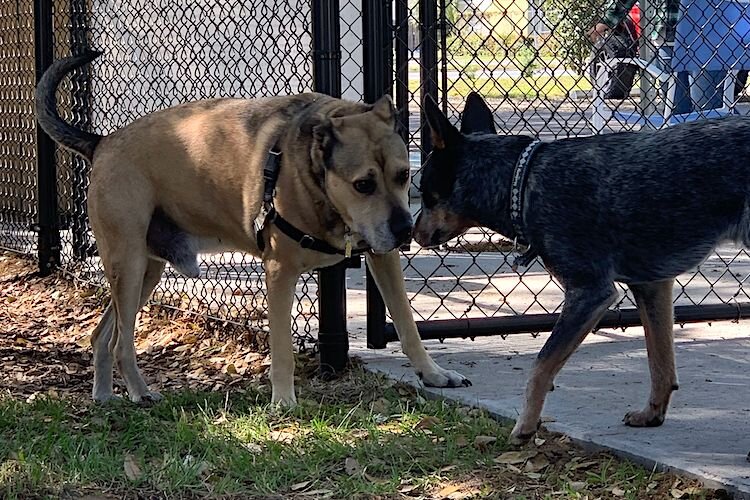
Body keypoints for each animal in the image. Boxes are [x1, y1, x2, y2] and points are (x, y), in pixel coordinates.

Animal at [38, 50, 472, 404]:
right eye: (363, 184)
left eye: (404, 175)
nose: (404, 232)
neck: (312, 176)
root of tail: (102, 142)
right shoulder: (279, 272)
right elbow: (282, 348)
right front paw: (283, 400)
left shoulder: (383, 258)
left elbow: (407, 325)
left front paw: (433, 375)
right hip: (127, 264)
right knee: (121, 341)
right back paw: (139, 392)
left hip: (146, 270)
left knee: (102, 335)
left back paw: (105, 396)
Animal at [414, 92, 750, 444]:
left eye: (425, 194)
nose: (411, 232)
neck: (523, 183)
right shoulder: (652, 285)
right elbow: (659, 361)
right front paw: (651, 413)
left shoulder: (589, 293)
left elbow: (541, 365)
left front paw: (524, 428)